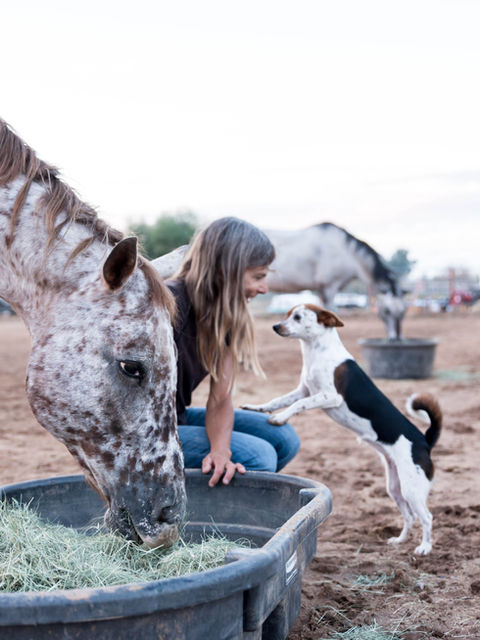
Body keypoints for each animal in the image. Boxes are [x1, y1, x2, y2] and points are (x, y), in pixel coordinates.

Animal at [243, 304, 442, 555]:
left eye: (297, 317)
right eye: (287, 314)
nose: (276, 326)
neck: (317, 352)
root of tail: (425, 441)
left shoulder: (329, 396)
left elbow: (298, 405)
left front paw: (279, 418)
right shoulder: (303, 390)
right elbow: (277, 400)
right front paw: (257, 408)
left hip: (412, 489)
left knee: (427, 517)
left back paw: (424, 547)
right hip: (396, 488)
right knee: (409, 516)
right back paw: (400, 540)